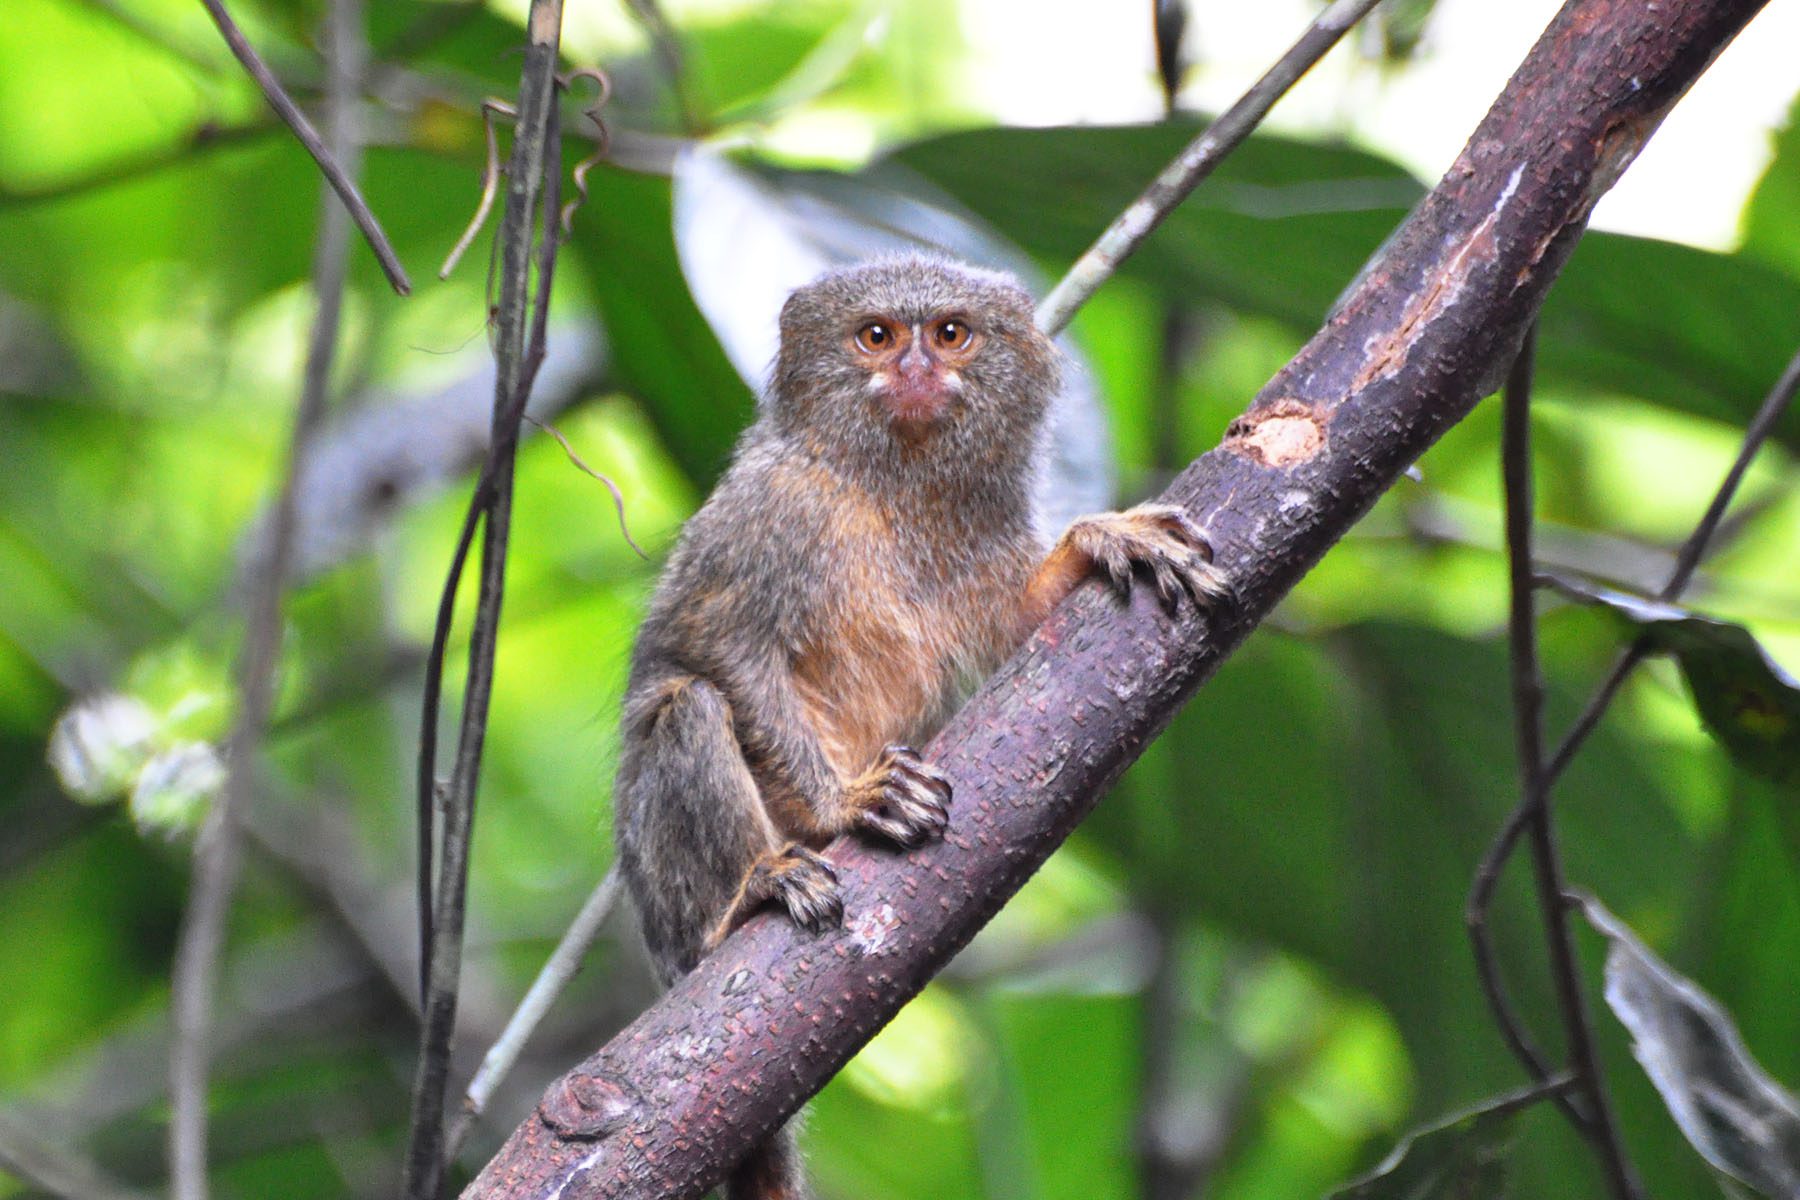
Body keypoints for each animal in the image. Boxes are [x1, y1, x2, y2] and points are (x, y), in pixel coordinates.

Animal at [612, 255, 1229, 1200]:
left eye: (949, 334)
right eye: (876, 336)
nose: (913, 370)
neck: (889, 485)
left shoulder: (979, 536)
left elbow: (1029, 621)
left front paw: (1103, 538)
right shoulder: (769, 515)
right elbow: (721, 651)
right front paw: (847, 803)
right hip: (667, 905)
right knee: (690, 711)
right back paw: (749, 891)